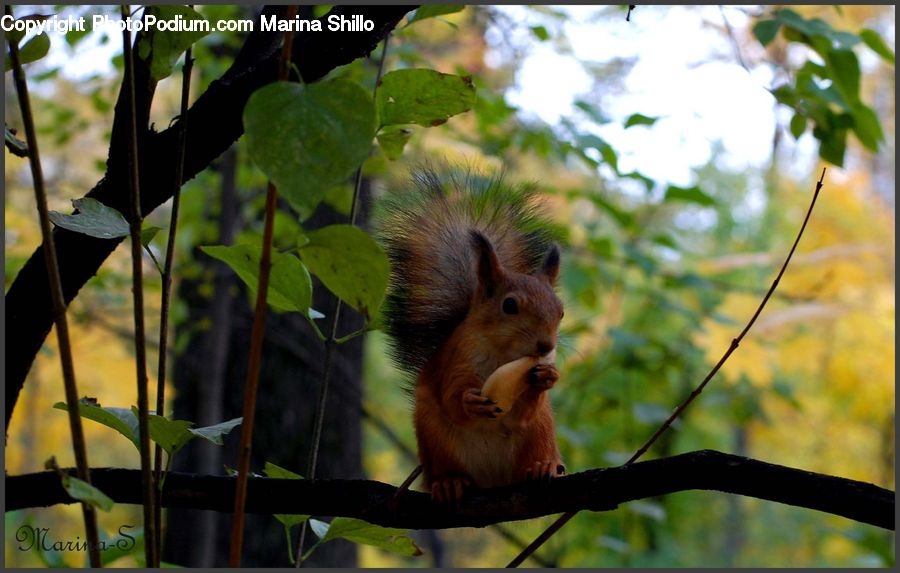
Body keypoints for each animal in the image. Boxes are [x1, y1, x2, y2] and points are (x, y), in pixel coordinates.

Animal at [375, 168, 566, 502]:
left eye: (561, 311)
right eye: (509, 305)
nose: (546, 346)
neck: (505, 355)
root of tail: (493, 482)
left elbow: (520, 416)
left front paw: (547, 377)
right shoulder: (457, 360)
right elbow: (453, 398)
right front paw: (469, 402)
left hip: (540, 433)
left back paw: (542, 466)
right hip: (435, 440)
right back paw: (449, 482)